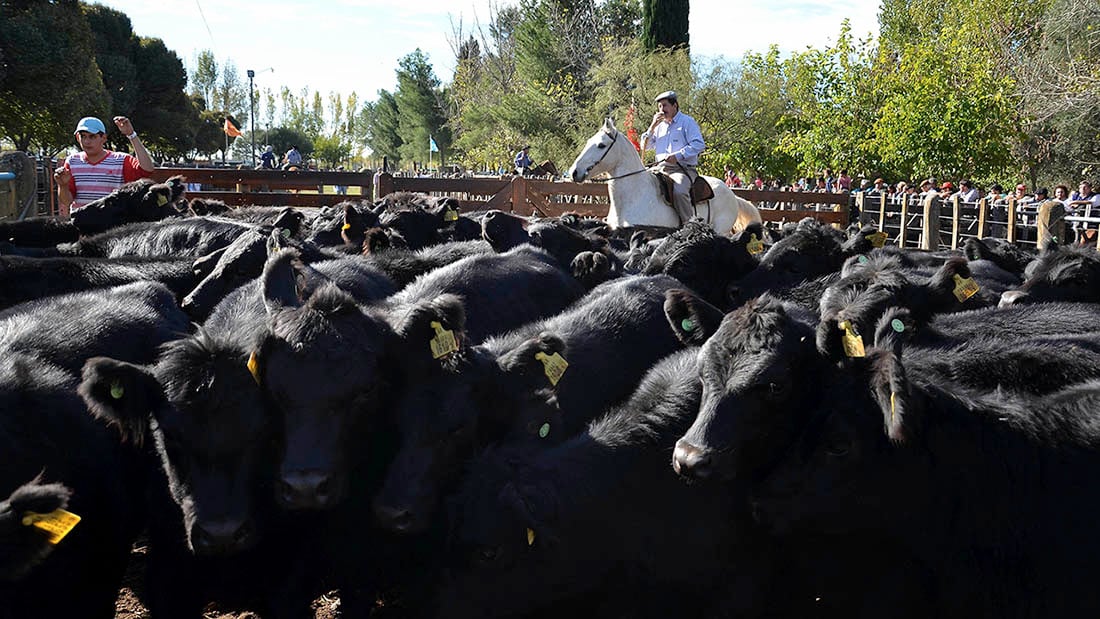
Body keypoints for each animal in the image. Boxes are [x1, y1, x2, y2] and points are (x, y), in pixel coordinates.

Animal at [563, 118, 761, 235]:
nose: (574, 172)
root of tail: (732, 194)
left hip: (721, 230)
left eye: (601, 145)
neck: (634, 198)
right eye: (589, 142)